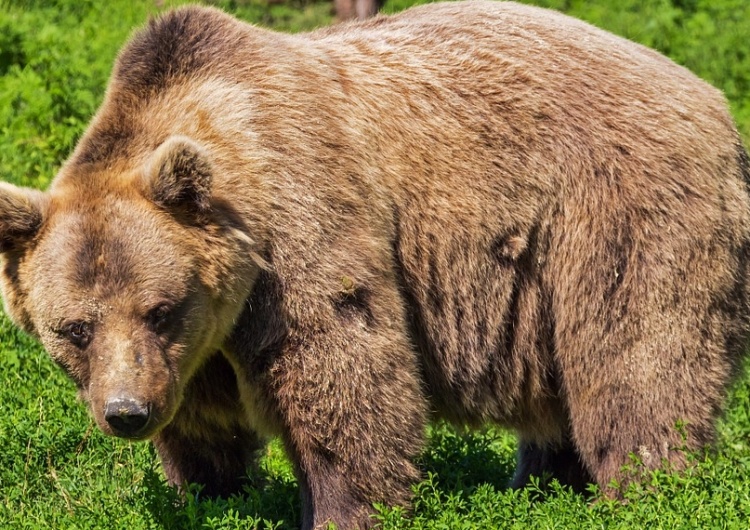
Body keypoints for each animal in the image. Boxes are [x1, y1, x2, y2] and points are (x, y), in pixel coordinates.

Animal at [1, 1, 750, 528]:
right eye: (74, 329)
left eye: (160, 310)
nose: (126, 412)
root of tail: (712, 99)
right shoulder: (204, 341)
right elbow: (205, 425)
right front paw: (211, 493)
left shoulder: (300, 227)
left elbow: (343, 368)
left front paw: (343, 509)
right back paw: (543, 481)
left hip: (618, 213)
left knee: (638, 359)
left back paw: (646, 488)